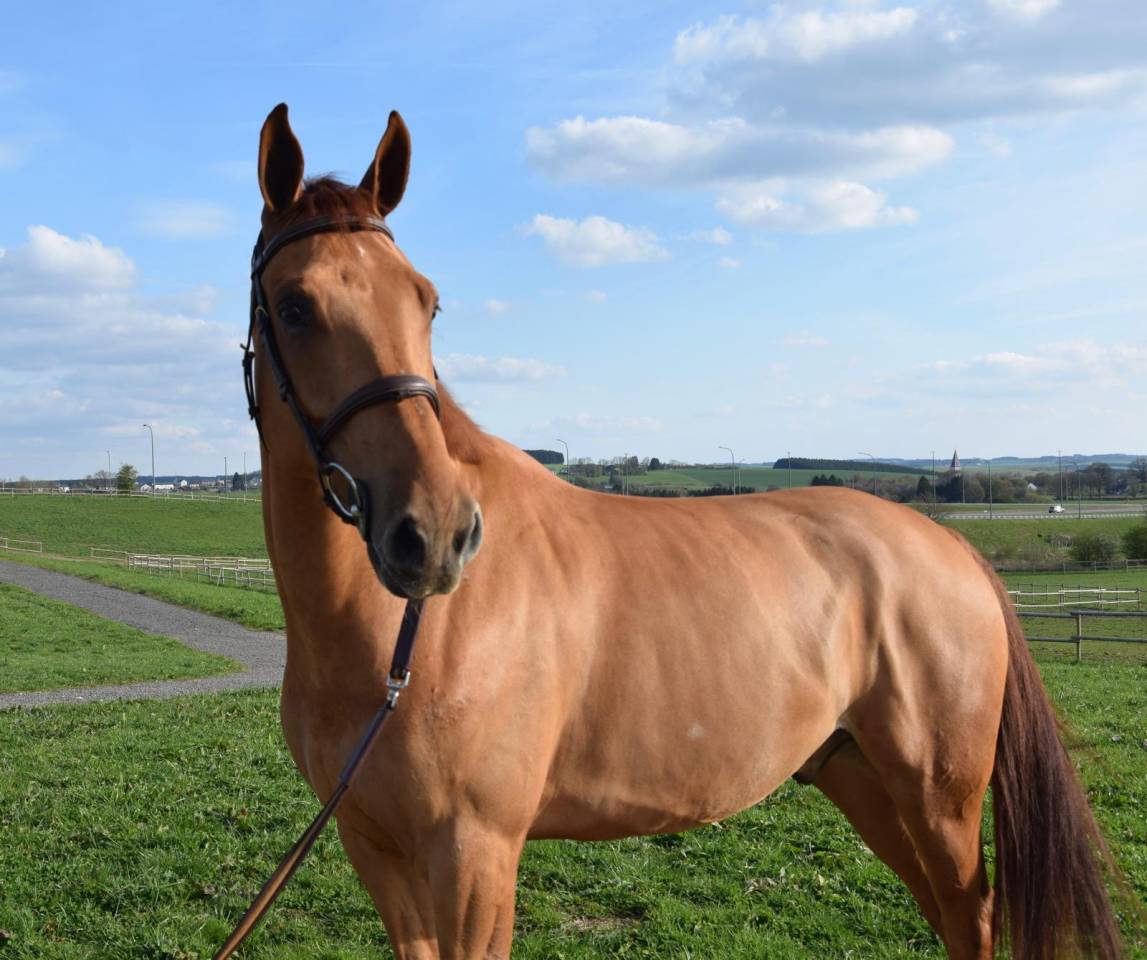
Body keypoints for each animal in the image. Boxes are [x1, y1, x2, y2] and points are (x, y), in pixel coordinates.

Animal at [248, 103, 1122, 959]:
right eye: (293, 306)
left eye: (425, 301)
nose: (434, 533)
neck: (401, 638)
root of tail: (954, 549)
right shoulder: (375, 849)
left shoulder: (474, 856)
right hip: (858, 775)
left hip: (938, 796)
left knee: (968, 914)